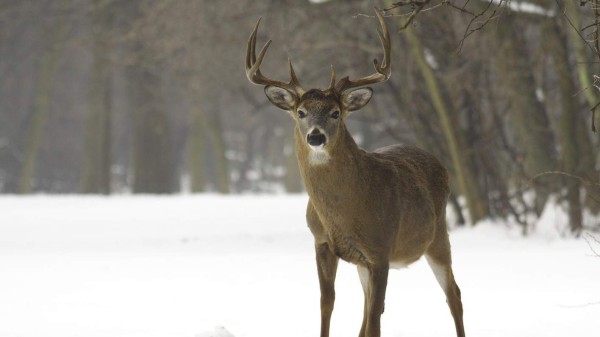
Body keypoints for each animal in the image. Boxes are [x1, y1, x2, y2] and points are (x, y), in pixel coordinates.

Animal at [244, 7, 464, 336]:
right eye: (301, 112)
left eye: (335, 112)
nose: (316, 137)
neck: (345, 214)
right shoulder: (322, 243)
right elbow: (327, 305)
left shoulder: (380, 250)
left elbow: (374, 322)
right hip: (367, 263)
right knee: (370, 309)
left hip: (438, 236)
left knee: (453, 294)